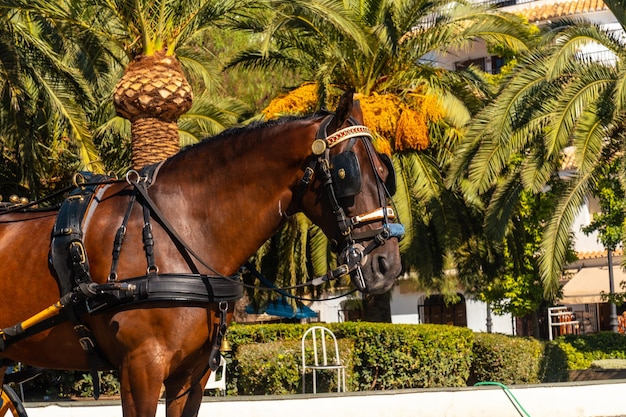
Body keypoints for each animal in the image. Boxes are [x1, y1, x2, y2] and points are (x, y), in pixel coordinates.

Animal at [0, 89, 402, 414]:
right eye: (348, 174)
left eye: (386, 173)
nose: (388, 264)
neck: (179, 230)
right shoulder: (141, 369)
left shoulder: (190, 377)